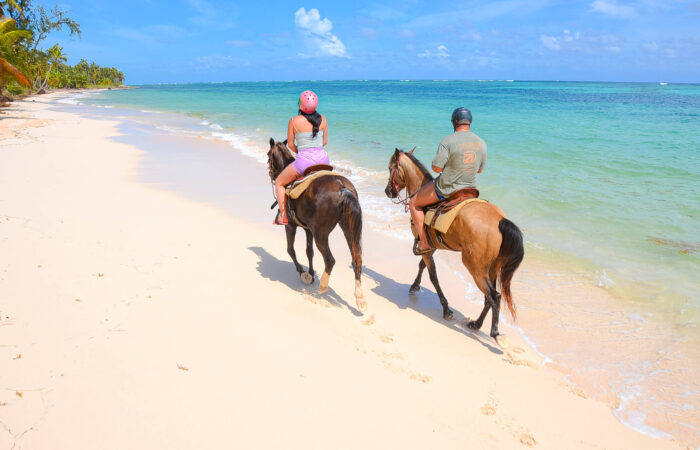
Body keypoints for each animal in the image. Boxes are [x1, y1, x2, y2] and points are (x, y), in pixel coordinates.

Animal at [267, 138, 366, 313]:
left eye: (268, 155)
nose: (271, 174)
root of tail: (342, 188)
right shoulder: (308, 229)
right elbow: (309, 251)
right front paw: (311, 273)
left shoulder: (291, 226)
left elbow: (290, 250)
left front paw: (303, 273)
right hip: (348, 229)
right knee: (357, 259)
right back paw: (359, 298)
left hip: (321, 234)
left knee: (330, 260)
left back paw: (323, 287)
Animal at [384, 148, 524, 347]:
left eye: (390, 168)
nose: (388, 191)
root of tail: (500, 220)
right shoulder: (430, 246)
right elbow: (422, 266)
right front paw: (415, 285)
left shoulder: (426, 247)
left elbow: (433, 276)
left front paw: (446, 308)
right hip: (492, 267)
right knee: (489, 297)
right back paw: (476, 324)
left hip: (474, 265)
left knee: (494, 296)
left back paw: (495, 333)